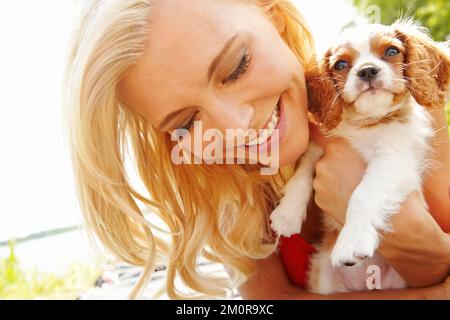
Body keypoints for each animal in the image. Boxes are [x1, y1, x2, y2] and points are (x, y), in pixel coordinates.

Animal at [270, 20, 450, 294]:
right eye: (341, 65)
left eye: (391, 51)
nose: (367, 71)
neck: (367, 123)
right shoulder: (321, 145)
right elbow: (303, 171)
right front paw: (287, 214)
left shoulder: (394, 159)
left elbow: (363, 193)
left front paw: (351, 242)